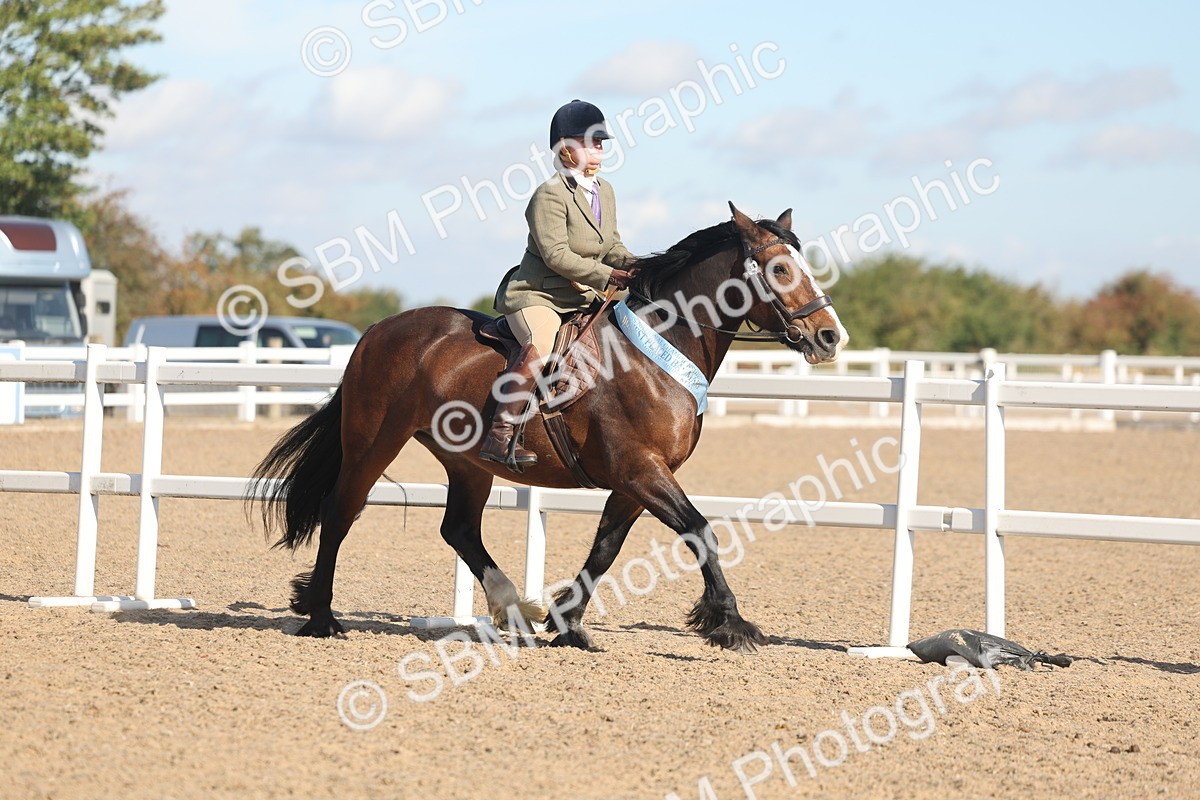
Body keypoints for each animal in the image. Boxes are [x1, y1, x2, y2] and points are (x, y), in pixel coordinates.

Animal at [249, 203, 847, 653]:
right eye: (779, 270)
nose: (828, 336)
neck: (658, 349)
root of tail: (377, 331)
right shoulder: (642, 470)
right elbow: (701, 532)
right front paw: (731, 624)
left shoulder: (634, 482)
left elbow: (605, 550)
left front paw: (568, 626)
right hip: (373, 443)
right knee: (340, 511)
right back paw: (323, 618)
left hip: (466, 462)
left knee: (459, 529)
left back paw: (514, 610)